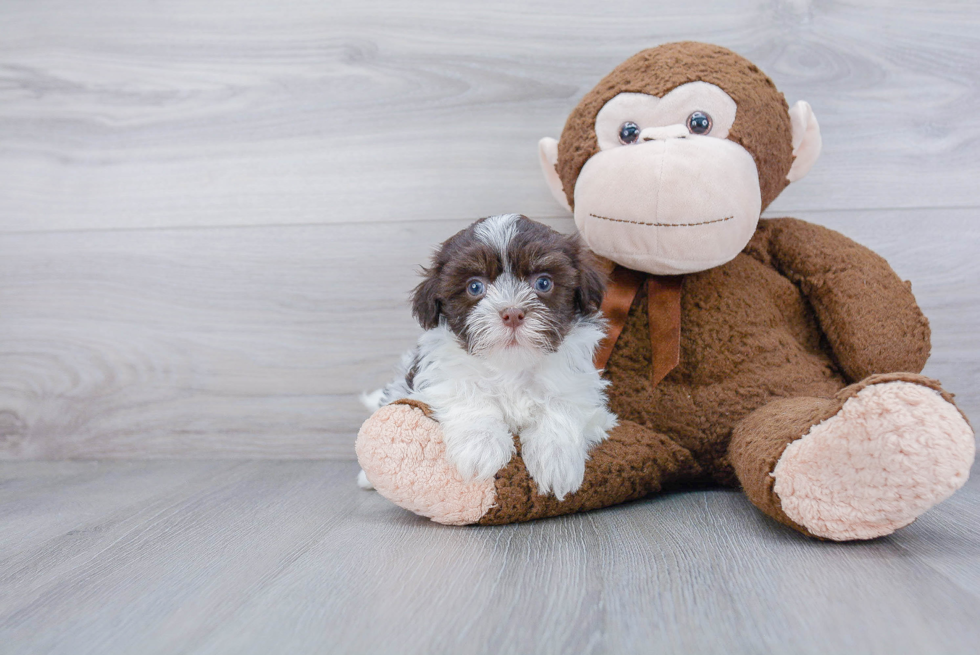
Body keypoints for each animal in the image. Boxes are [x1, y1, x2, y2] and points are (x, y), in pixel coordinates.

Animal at [364, 213, 616, 500]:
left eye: (543, 283)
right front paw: (481, 446)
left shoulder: (579, 388)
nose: (513, 313)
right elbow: (468, 394)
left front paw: (556, 458)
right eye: (475, 286)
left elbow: (562, 405)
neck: (511, 366)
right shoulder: (443, 376)